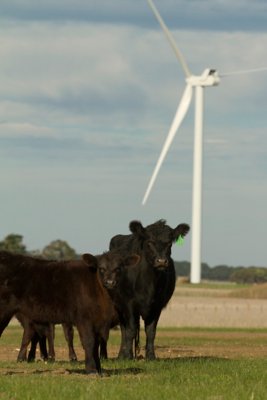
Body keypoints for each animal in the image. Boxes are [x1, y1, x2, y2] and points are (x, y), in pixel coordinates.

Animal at [0, 252, 140, 374]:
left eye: (118, 268)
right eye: (101, 268)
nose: (110, 282)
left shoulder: (98, 322)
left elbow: (96, 343)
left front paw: (99, 369)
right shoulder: (84, 319)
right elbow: (89, 342)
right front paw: (91, 369)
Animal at [109, 219, 191, 360]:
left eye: (169, 243)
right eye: (149, 242)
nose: (161, 261)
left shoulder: (157, 305)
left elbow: (151, 331)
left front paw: (151, 356)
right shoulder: (129, 304)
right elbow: (130, 330)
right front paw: (128, 356)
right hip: (118, 305)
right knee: (124, 329)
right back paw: (122, 355)